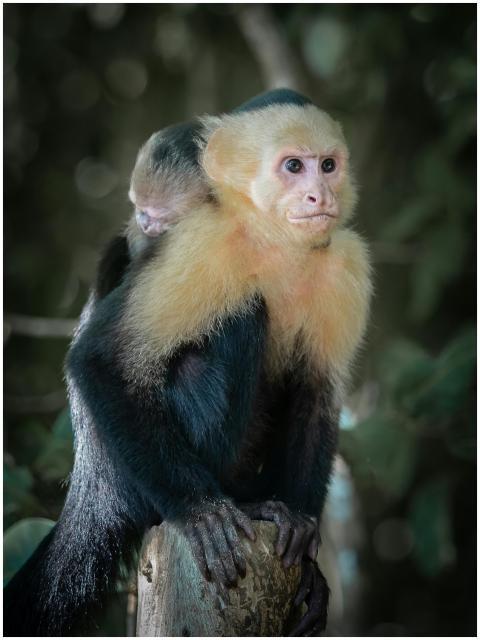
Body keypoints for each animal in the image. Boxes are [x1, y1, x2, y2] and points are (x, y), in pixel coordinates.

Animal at [4, 93, 372, 637]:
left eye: (328, 165)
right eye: (293, 167)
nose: (318, 195)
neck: (276, 243)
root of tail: (94, 484)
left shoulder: (346, 263)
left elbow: (316, 396)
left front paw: (306, 541)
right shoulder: (204, 243)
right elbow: (101, 359)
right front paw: (199, 513)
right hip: (137, 485)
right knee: (242, 313)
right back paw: (237, 502)